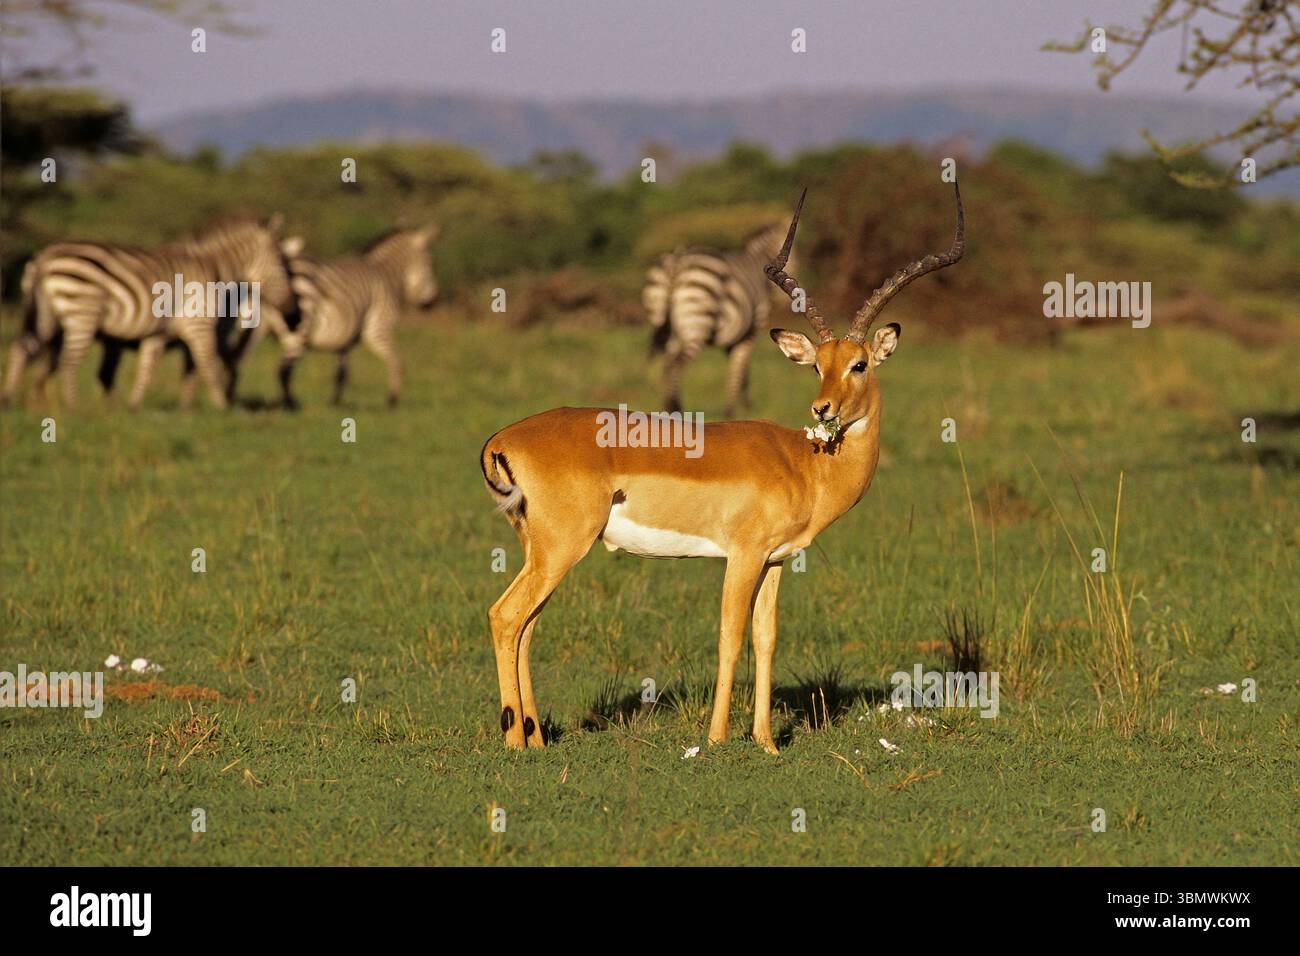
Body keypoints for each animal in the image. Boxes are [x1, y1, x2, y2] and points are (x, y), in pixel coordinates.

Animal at [479, 182, 964, 752]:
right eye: (818, 366)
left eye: (858, 364)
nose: (822, 410)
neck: (804, 464)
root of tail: (503, 439)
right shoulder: (744, 555)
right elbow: (730, 637)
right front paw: (715, 739)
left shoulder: (775, 561)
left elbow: (765, 638)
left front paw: (767, 742)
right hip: (562, 547)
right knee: (506, 616)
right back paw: (514, 740)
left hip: (541, 550)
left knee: (527, 625)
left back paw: (535, 737)